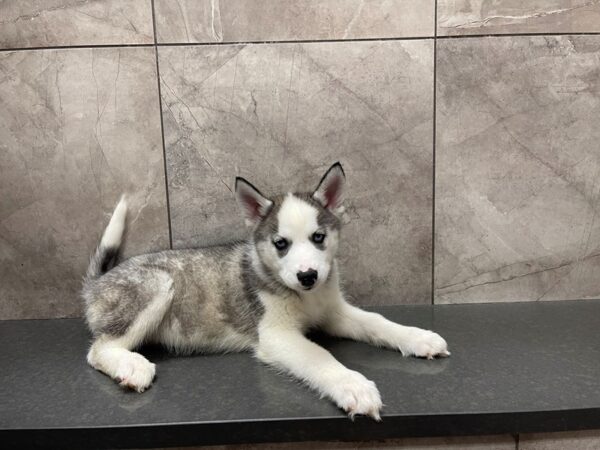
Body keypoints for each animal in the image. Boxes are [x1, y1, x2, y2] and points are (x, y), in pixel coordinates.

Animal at [84, 163, 450, 420]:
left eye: (318, 237)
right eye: (281, 244)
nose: (308, 276)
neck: (305, 297)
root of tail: (97, 282)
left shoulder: (335, 312)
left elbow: (376, 321)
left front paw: (418, 337)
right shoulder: (276, 334)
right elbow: (320, 356)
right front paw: (353, 385)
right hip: (157, 285)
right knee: (99, 349)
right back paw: (131, 366)